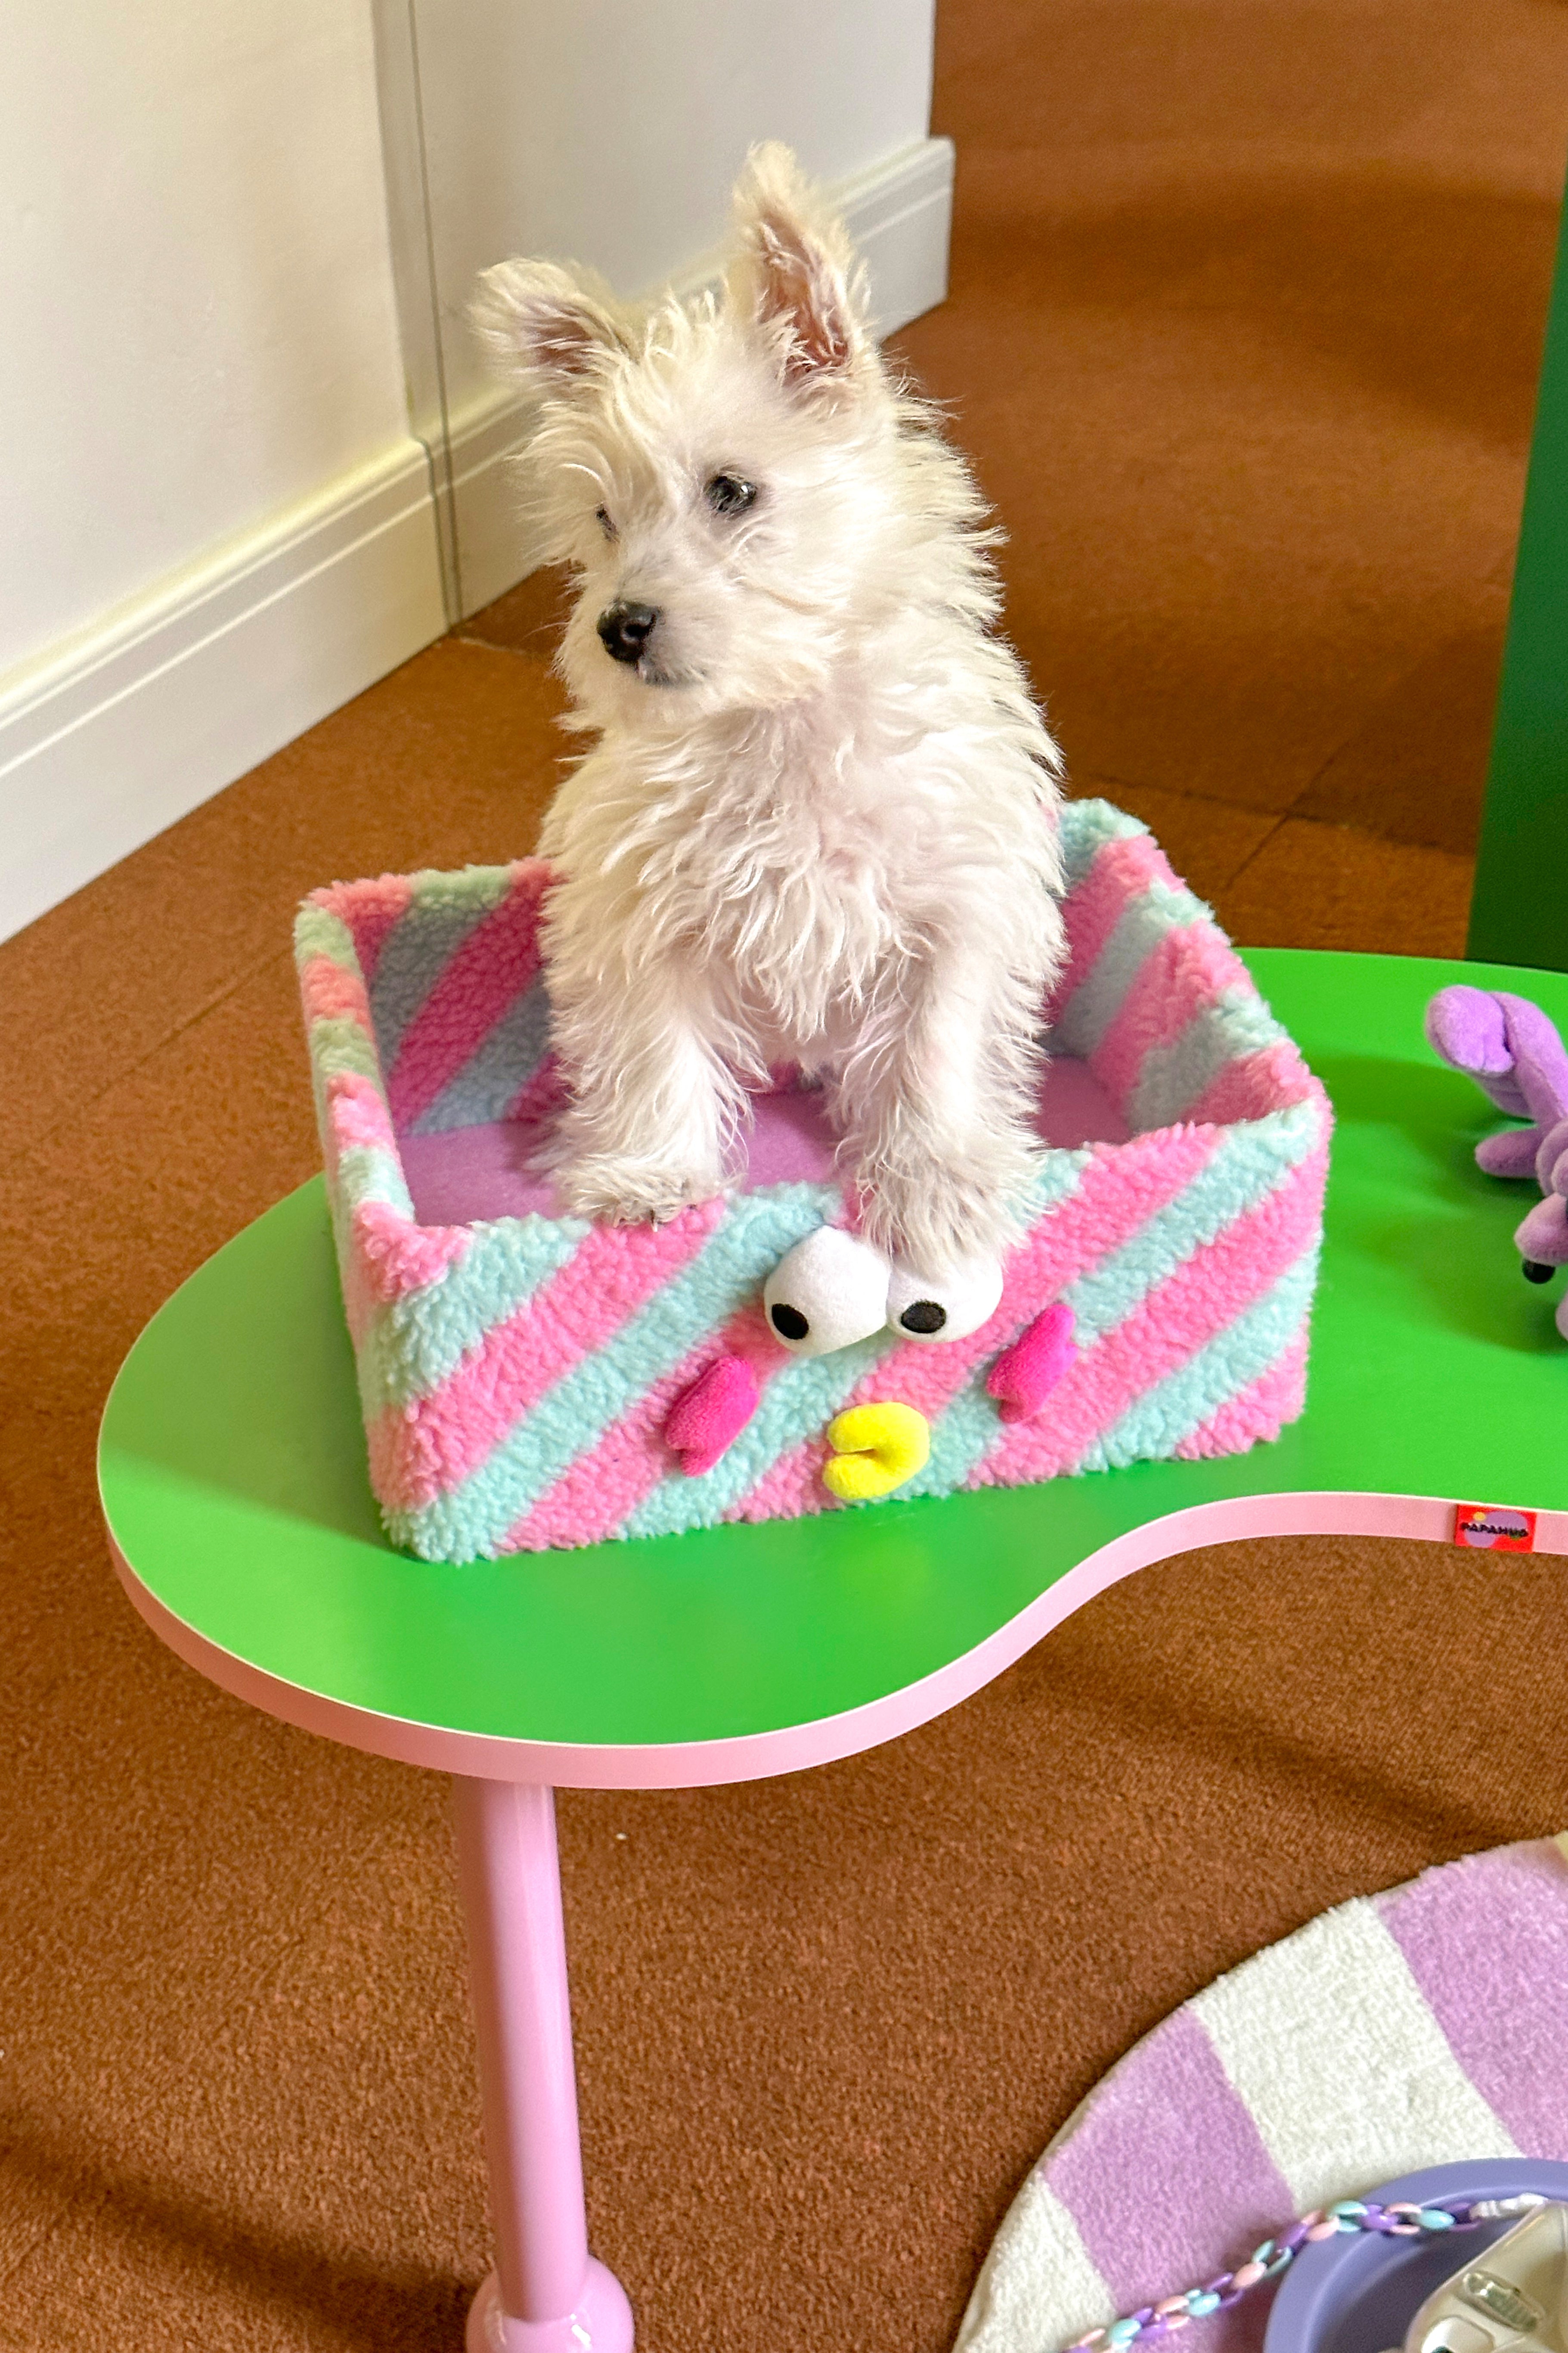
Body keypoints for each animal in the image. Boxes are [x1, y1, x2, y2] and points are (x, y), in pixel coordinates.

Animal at [474, 142, 1067, 1289]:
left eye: (732, 491)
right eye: (604, 519)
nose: (619, 627)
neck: (778, 722)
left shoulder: (958, 906)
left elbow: (935, 1048)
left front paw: (936, 1189)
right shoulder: (639, 918)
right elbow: (653, 1051)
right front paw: (649, 1178)